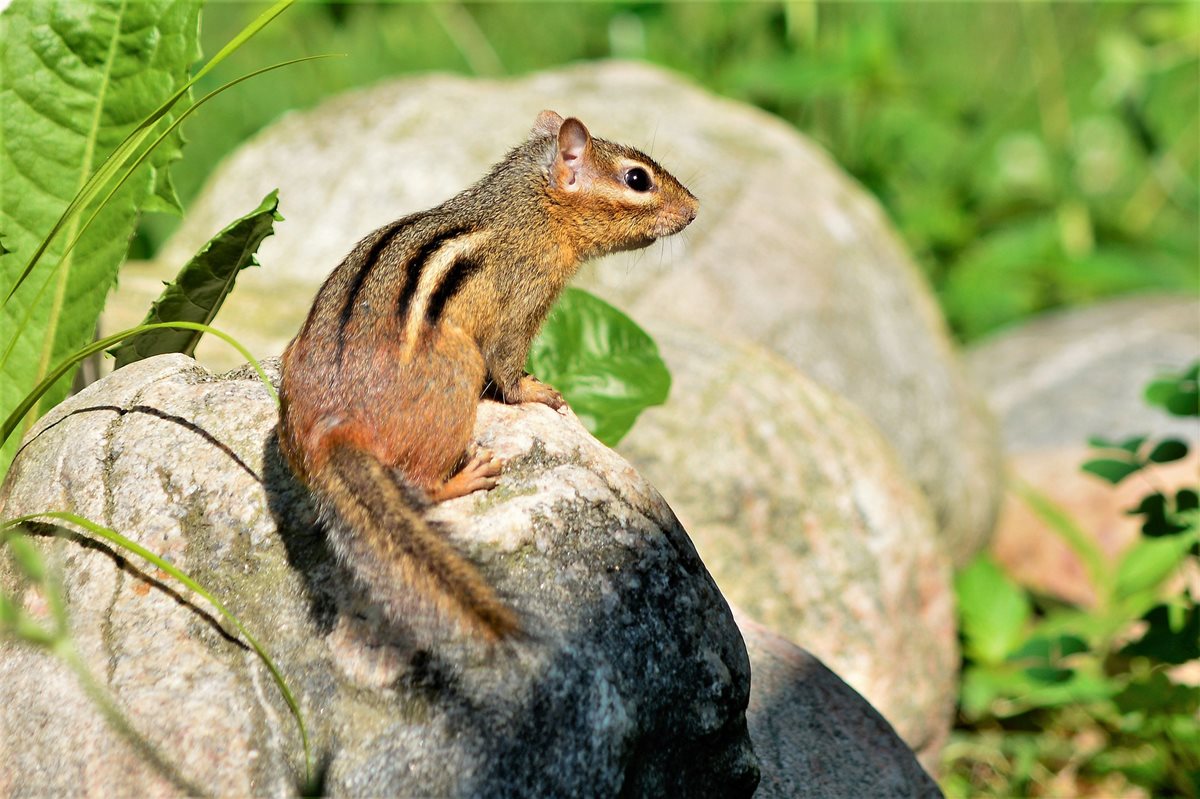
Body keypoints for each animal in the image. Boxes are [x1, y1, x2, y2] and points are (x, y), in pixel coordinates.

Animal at [277, 110, 699, 642]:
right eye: (637, 179)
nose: (695, 209)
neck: (529, 207)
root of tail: (330, 426)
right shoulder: (527, 294)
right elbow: (507, 363)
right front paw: (538, 391)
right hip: (459, 373)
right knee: (422, 486)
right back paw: (466, 477)